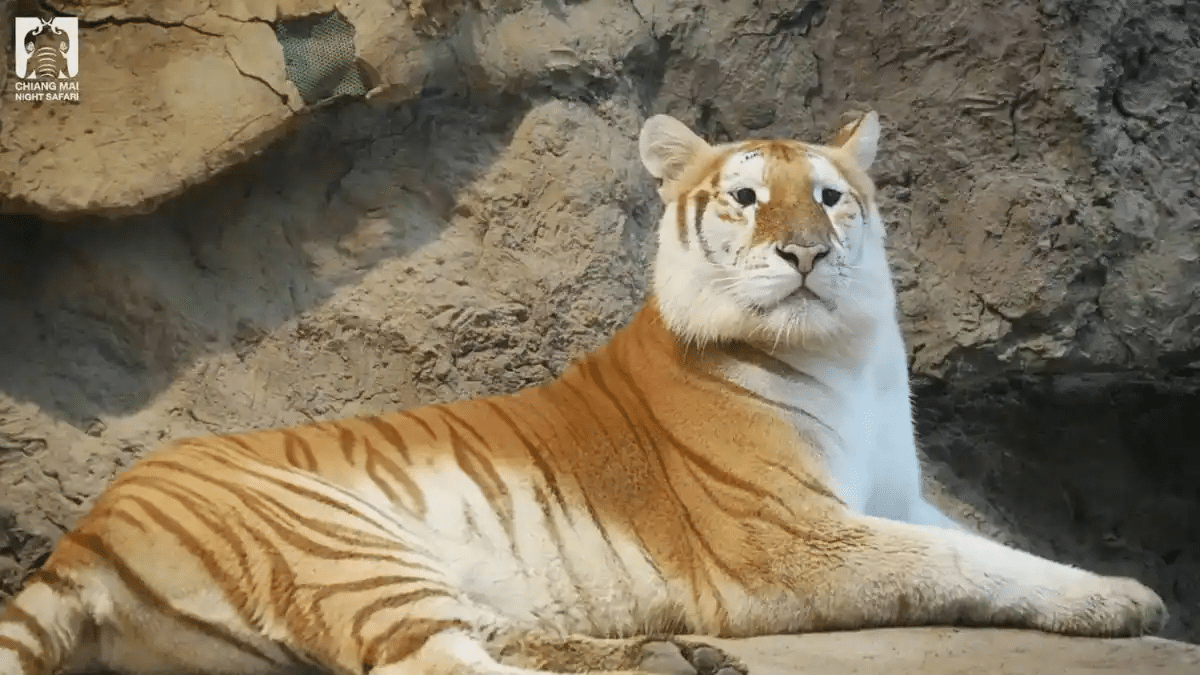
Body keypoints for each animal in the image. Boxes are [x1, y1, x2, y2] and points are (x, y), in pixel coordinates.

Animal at [0, 110, 1167, 675]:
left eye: (832, 198)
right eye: (748, 198)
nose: (803, 251)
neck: (847, 348)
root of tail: (80, 533)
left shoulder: (895, 496)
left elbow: (988, 541)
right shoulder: (794, 538)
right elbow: (964, 560)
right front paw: (1126, 599)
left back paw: (667, 658)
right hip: (342, 545)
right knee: (433, 667)